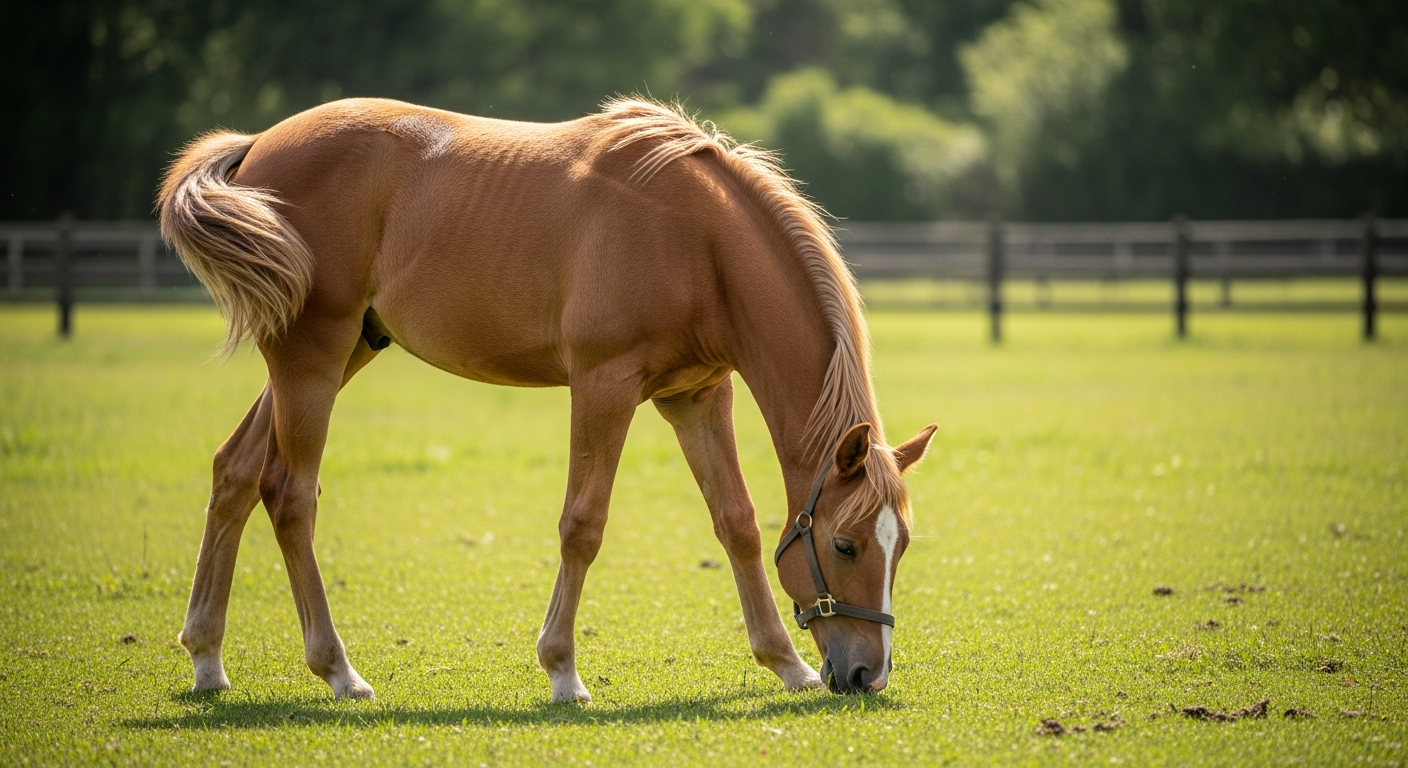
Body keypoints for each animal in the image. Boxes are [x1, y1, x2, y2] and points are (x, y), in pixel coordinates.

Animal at [159, 96, 935, 702]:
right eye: (845, 543)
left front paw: (786, 663)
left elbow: (737, 522)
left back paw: (206, 658)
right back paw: (338, 671)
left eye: (900, 545)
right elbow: (582, 524)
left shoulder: (697, 396)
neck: (696, 241)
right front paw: (562, 670)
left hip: (343, 351)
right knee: (291, 495)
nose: (867, 675)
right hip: (311, 356)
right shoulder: (603, 385)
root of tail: (257, 145)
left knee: (235, 472)